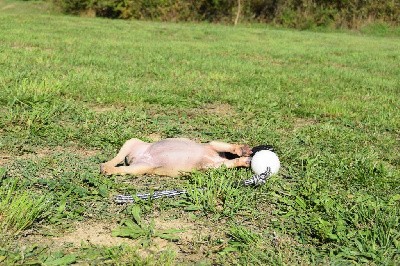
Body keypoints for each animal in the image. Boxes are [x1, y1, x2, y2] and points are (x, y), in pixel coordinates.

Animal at [100, 137, 252, 177]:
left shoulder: (211, 166)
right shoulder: (211, 157)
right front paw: (242, 152)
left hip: (141, 166)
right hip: (132, 144)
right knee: (117, 161)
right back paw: (105, 167)